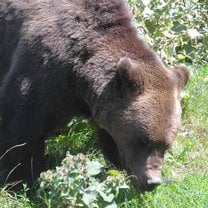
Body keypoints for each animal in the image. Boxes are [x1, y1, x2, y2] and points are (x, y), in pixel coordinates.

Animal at [0, 0, 188, 192]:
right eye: (142, 140)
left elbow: (109, 136)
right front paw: (23, 181)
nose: (152, 182)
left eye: (167, 145)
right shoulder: (45, 66)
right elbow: (22, 124)